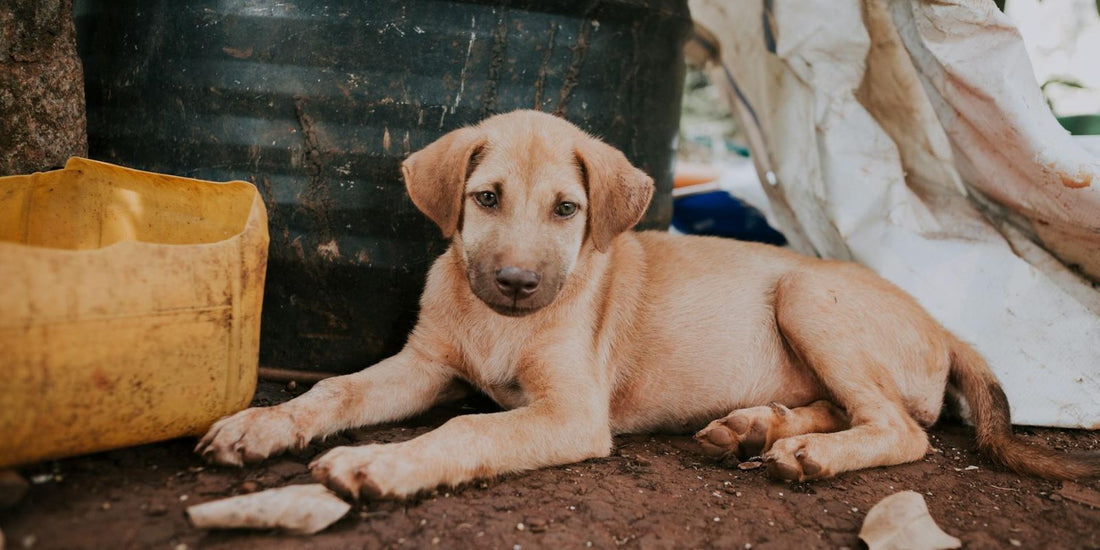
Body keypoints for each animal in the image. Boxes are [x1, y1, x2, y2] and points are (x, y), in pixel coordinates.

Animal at [198, 109, 1100, 497]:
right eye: (485, 198)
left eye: (567, 210)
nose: (516, 283)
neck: (499, 326)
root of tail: (945, 327)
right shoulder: (424, 367)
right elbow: (334, 389)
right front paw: (260, 423)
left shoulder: (570, 412)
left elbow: (466, 430)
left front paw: (381, 464)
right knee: (853, 408)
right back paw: (757, 427)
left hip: (808, 291)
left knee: (902, 430)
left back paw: (806, 454)